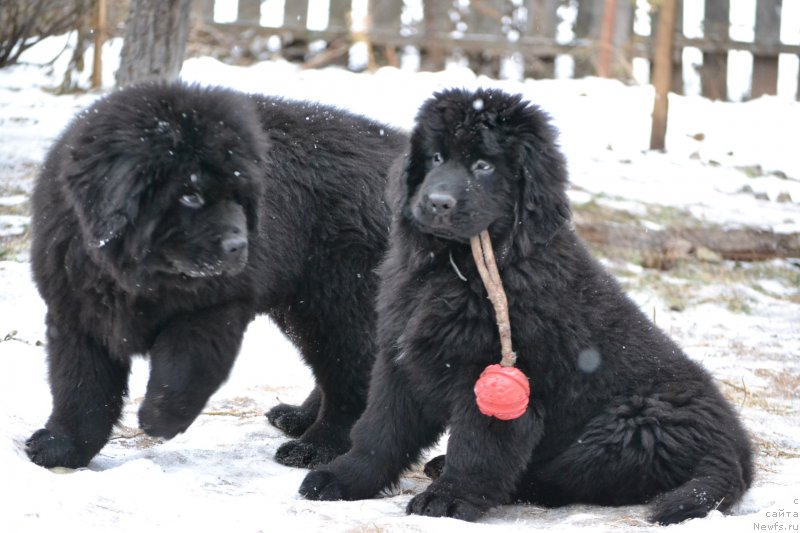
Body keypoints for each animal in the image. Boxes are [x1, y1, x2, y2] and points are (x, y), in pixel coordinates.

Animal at [25, 83, 406, 470]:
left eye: (240, 196)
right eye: (190, 195)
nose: (239, 246)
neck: (135, 276)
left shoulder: (213, 308)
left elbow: (183, 367)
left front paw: (160, 418)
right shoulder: (77, 311)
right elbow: (80, 388)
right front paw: (62, 447)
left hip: (341, 296)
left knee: (353, 371)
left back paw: (317, 447)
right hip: (302, 307)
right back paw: (299, 417)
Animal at [302, 88, 756, 524]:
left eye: (483, 166)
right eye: (436, 157)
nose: (438, 202)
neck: (457, 270)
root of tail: (737, 454)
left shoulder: (497, 373)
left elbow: (478, 447)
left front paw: (448, 501)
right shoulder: (401, 357)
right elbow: (379, 430)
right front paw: (343, 478)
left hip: (630, 425)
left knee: (569, 478)